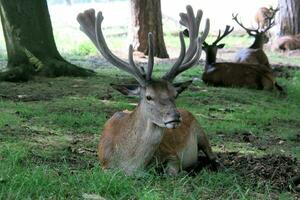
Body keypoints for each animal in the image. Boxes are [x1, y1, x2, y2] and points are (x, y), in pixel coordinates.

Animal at [77, 5, 218, 175]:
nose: (175, 116)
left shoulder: (172, 154)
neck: (130, 165)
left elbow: (172, 171)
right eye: (149, 97)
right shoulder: (103, 165)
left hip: (201, 131)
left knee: (212, 156)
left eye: (175, 95)